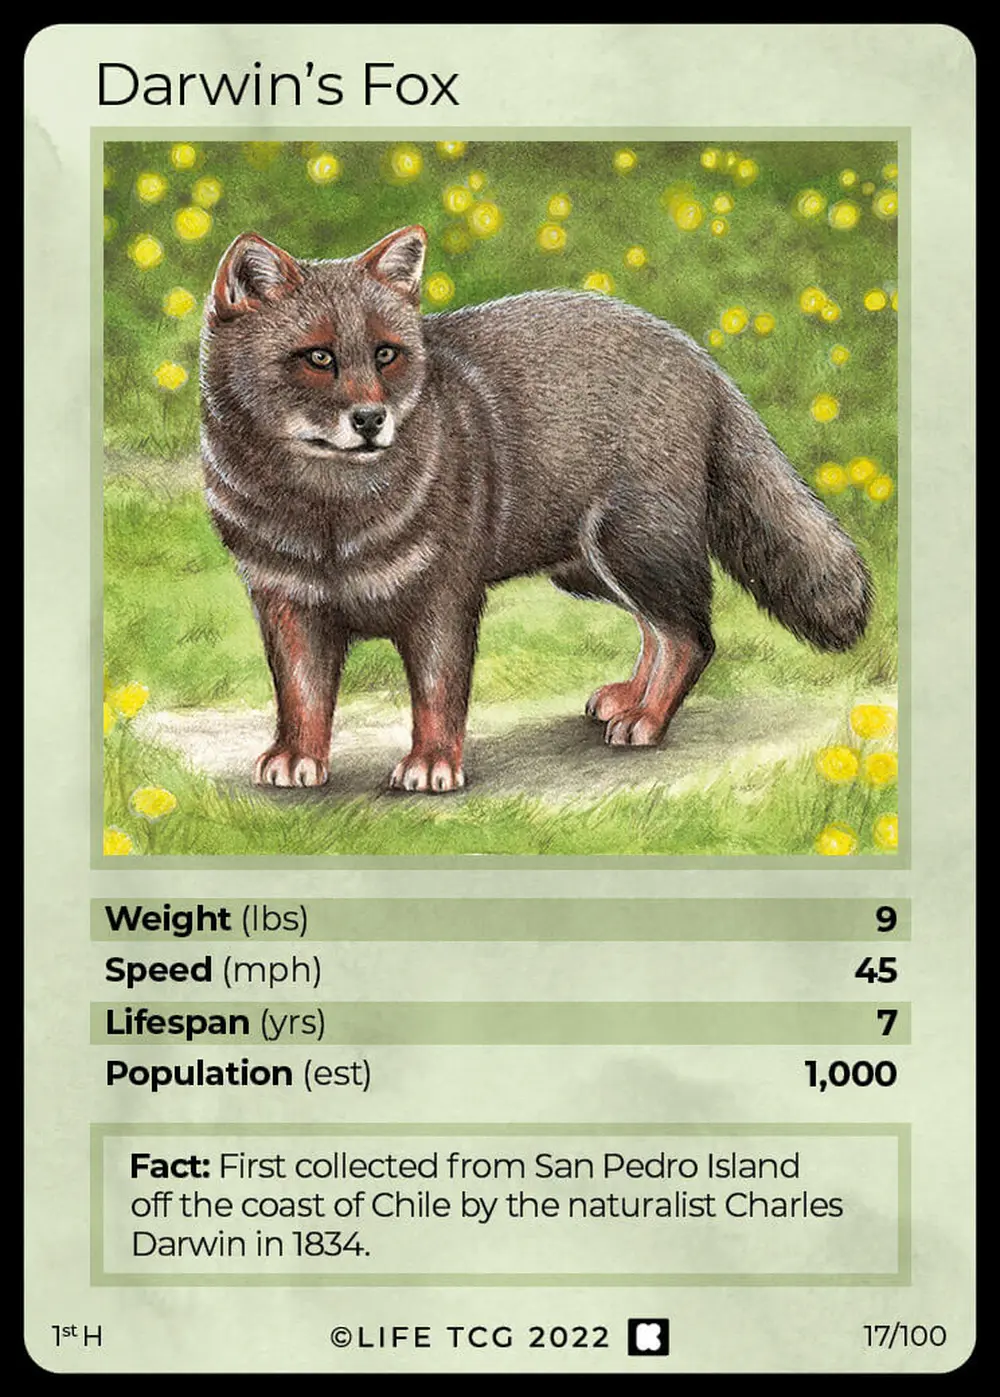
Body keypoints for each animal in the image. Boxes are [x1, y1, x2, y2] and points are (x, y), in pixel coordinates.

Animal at [200, 224, 871, 793]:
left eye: (386, 355)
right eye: (319, 357)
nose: (370, 420)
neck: (328, 523)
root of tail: (699, 358)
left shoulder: (446, 601)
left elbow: (439, 695)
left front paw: (433, 764)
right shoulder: (287, 604)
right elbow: (302, 698)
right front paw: (297, 756)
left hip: (633, 549)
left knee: (692, 636)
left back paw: (649, 720)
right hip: (591, 570)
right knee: (658, 628)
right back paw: (631, 698)